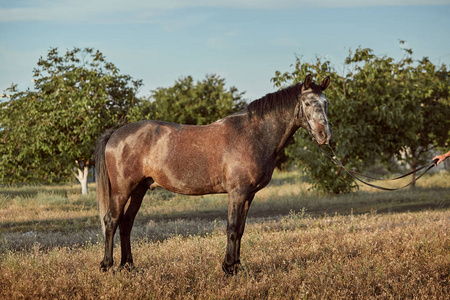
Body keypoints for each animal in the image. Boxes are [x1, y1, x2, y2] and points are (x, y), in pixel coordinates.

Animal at [95, 74, 332, 276]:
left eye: (326, 103)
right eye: (307, 103)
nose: (325, 135)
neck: (253, 134)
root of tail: (115, 134)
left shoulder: (249, 195)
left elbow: (241, 229)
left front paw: (236, 266)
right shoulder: (237, 193)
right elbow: (233, 228)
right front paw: (228, 268)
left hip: (139, 189)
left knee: (126, 223)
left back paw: (128, 266)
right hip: (122, 190)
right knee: (111, 221)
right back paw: (107, 265)